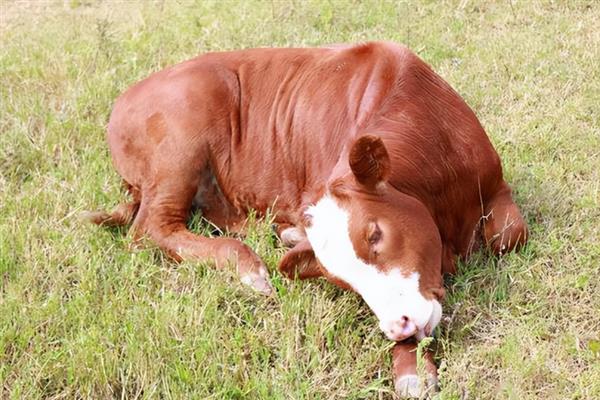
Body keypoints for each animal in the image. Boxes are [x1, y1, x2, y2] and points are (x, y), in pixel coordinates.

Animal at [85, 41, 528, 397]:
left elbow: (509, 235)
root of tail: (125, 99)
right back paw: (249, 266)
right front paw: (412, 369)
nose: (398, 326)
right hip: (179, 144)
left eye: (375, 233)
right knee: (151, 228)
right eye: (343, 282)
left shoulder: (495, 181)